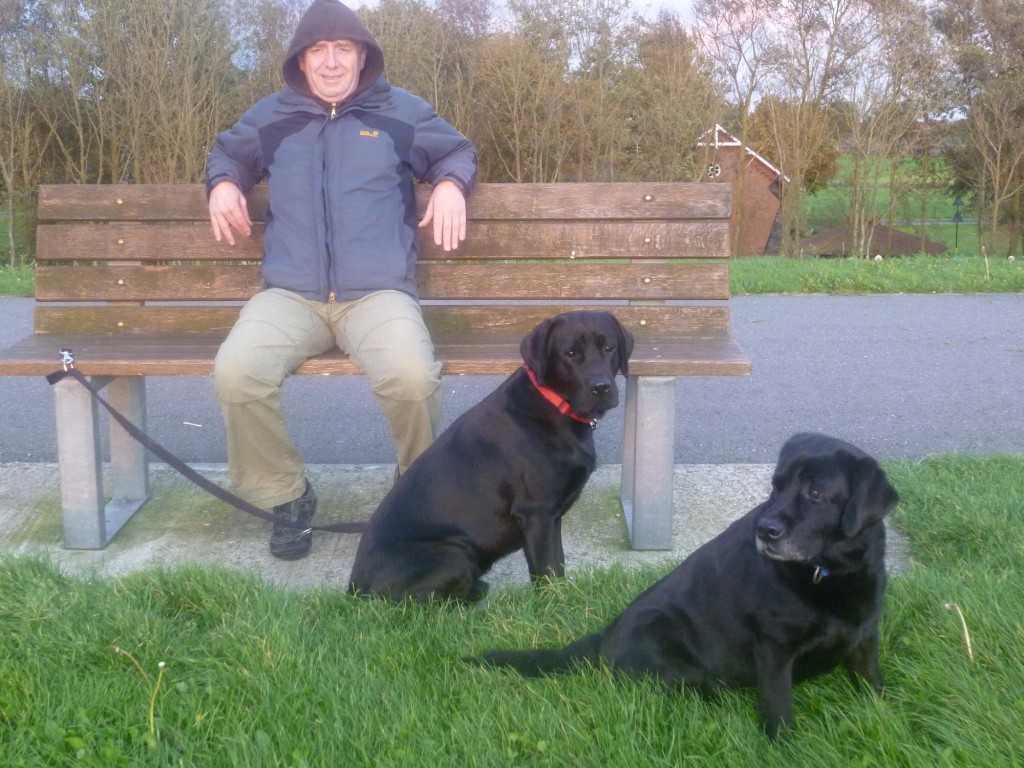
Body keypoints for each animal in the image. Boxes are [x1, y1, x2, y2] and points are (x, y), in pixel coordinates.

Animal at [348, 310, 634, 603]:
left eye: (609, 348)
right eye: (571, 353)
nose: (601, 387)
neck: (553, 406)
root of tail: (355, 588)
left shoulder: (552, 517)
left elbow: (558, 565)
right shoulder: (537, 513)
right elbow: (546, 571)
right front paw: (552, 605)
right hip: (454, 555)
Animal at [468, 433, 899, 738]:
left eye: (815, 493)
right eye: (775, 486)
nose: (765, 530)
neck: (831, 572)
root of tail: (604, 637)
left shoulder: (866, 637)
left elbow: (874, 686)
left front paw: (883, 720)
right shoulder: (775, 649)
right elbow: (778, 711)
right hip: (669, 642)